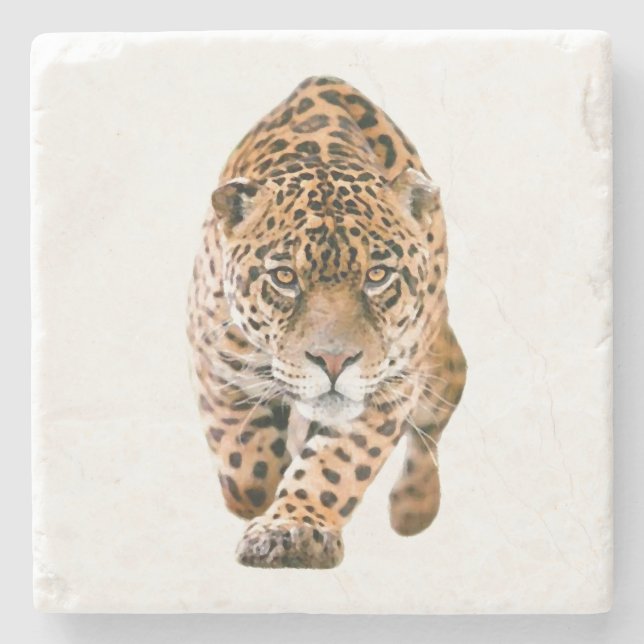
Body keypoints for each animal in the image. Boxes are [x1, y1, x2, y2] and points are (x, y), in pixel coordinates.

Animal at [187, 75, 466, 569]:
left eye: (378, 276)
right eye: (284, 277)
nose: (334, 362)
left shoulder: (389, 388)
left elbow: (335, 465)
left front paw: (294, 529)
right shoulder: (218, 365)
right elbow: (246, 472)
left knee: (441, 406)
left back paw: (414, 506)